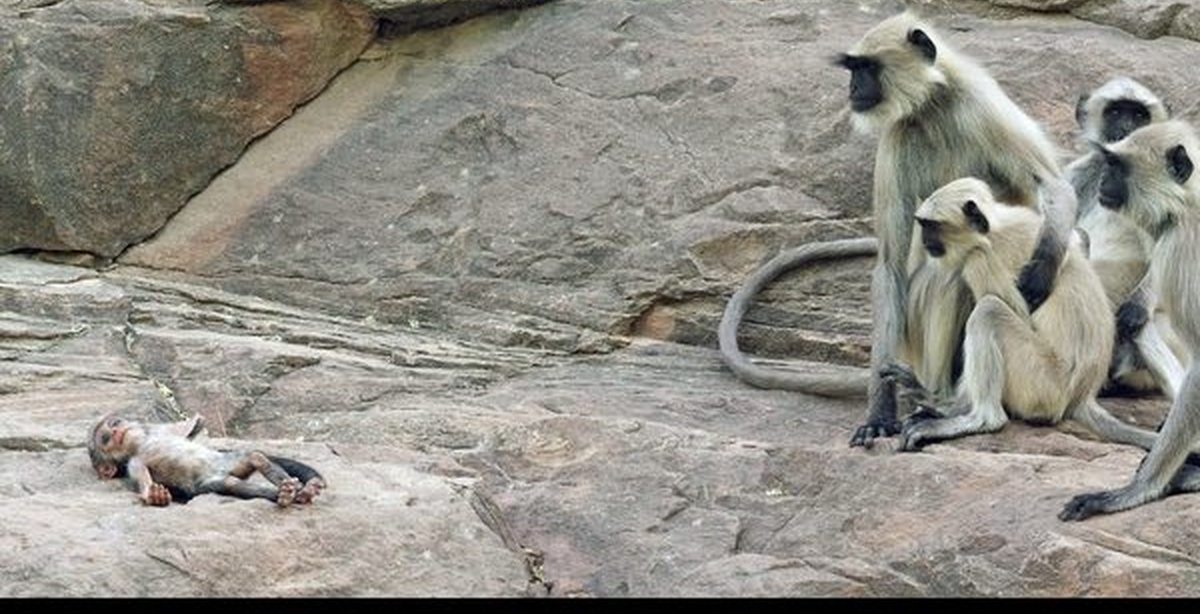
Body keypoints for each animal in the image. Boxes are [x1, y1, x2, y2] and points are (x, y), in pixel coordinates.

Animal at [88, 413, 325, 507]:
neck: (141, 443)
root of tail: (220, 471)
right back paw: (286, 493)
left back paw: (296, 487)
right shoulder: (134, 462)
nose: (116, 431)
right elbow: (143, 478)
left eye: (116, 422)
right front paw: (153, 494)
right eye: (105, 438)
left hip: (225, 462)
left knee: (254, 456)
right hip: (211, 481)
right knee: (231, 484)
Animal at [719, 12, 1075, 448]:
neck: (933, 104)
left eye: (867, 68)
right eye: (853, 69)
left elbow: (1053, 185)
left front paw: (1040, 274)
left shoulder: (981, 104)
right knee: (946, 281)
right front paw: (879, 411)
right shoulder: (896, 136)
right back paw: (935, 398)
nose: (853, 89)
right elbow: (891, 266)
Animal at [882, 177, 1164, 451]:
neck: (993, 230)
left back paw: (980, 419)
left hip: (1043, 384)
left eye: (931, 225)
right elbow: (1076, 240)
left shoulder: (986, 256)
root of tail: (1082, 396)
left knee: (989, 310)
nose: (925, 240)